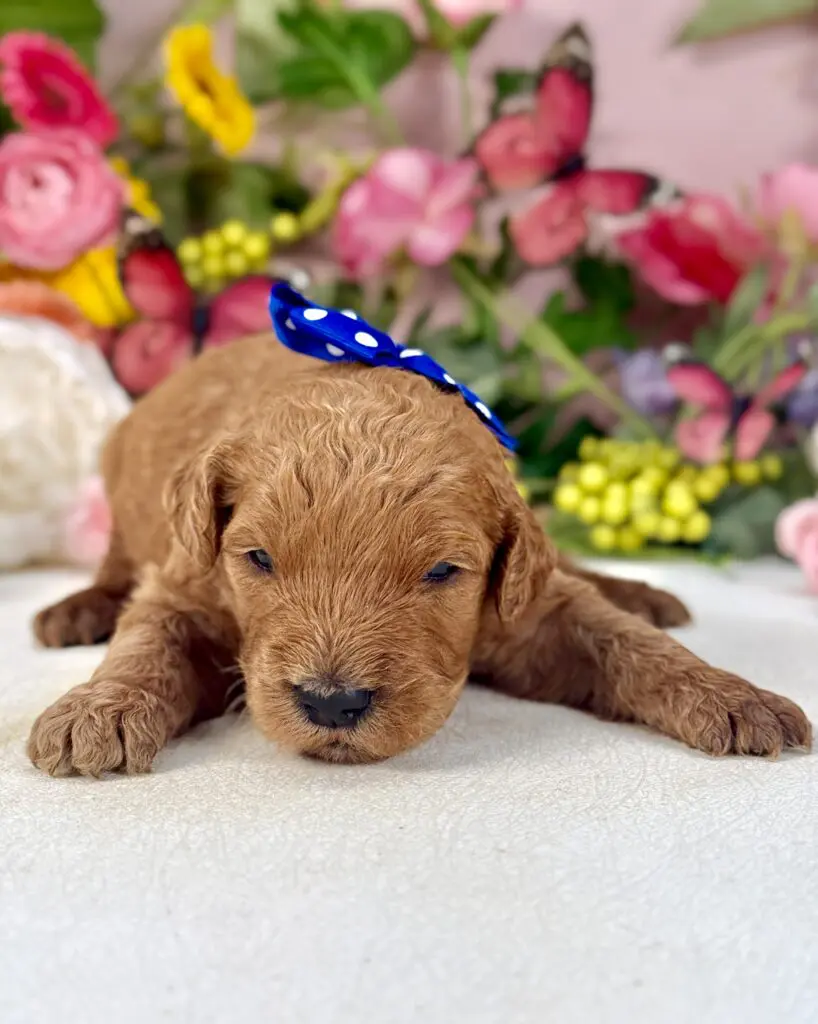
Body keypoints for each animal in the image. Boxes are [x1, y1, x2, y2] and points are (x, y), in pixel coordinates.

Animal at [27, 334, 812, 775]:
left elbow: (623, 641)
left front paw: (732, 695)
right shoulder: (184, 580)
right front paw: (97, 711)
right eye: (258, 560)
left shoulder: (525, 609)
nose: (331, 704)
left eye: (441, 573)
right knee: (114, 566)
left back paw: (641, 591)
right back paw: (77, 609)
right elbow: (147, 643)